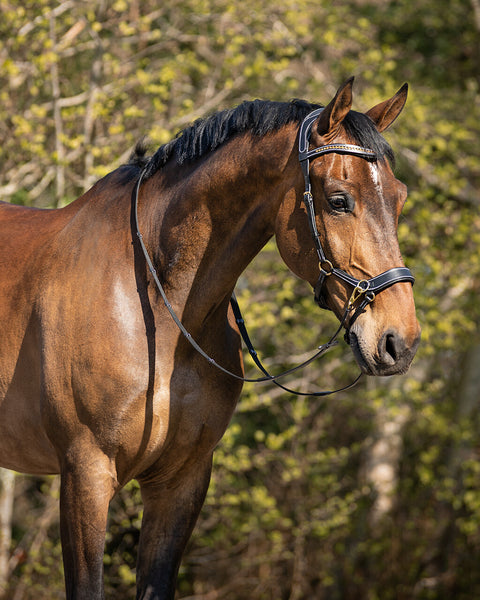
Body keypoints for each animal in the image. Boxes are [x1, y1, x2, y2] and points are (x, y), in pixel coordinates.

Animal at [0, 79, 420, 600]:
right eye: (339, 199)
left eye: (400, 198)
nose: (399, 342)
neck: (158, 308)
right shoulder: (86, 475)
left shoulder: (182, 481)